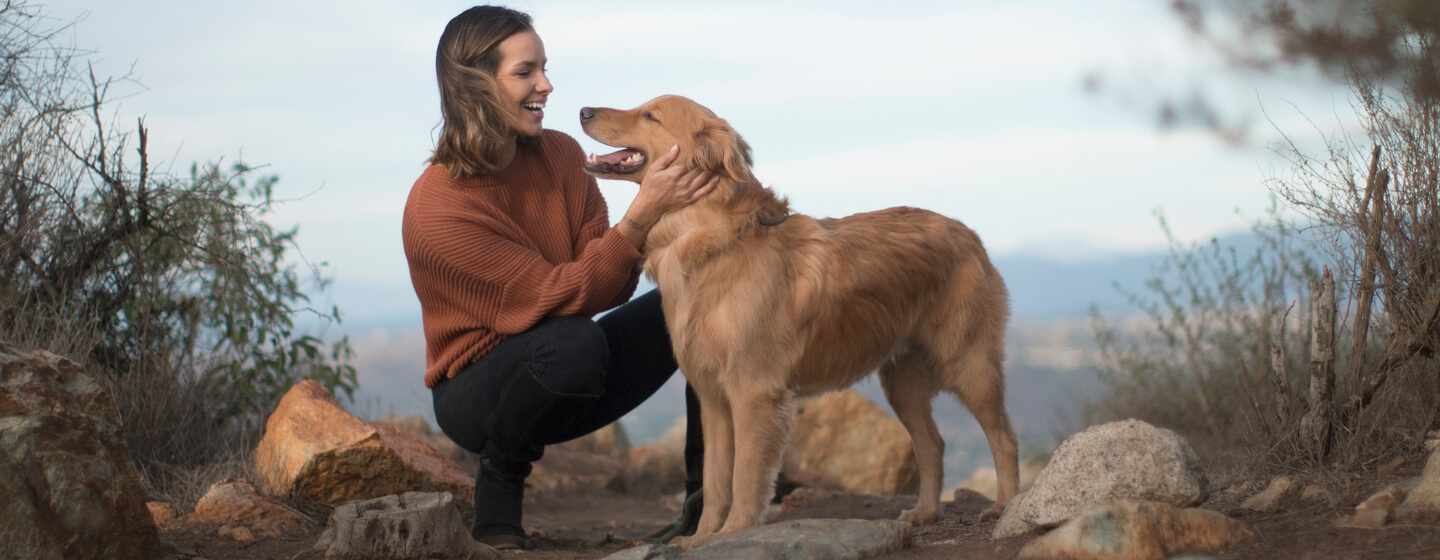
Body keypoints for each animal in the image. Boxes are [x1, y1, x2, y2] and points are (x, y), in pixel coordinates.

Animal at [578, 95, 1019, 544]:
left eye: (651, 115)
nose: (582, 111)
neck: (715, 239)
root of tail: (970, 234)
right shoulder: (712, 399)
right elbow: (715, 480)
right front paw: (701, 538)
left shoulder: (753, 393)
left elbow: (745, 476)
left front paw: (733, 532)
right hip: (903, 384)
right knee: (932, 444)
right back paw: (926, 512)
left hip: (968, 364)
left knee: (1004, 437)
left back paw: (1003, 506)